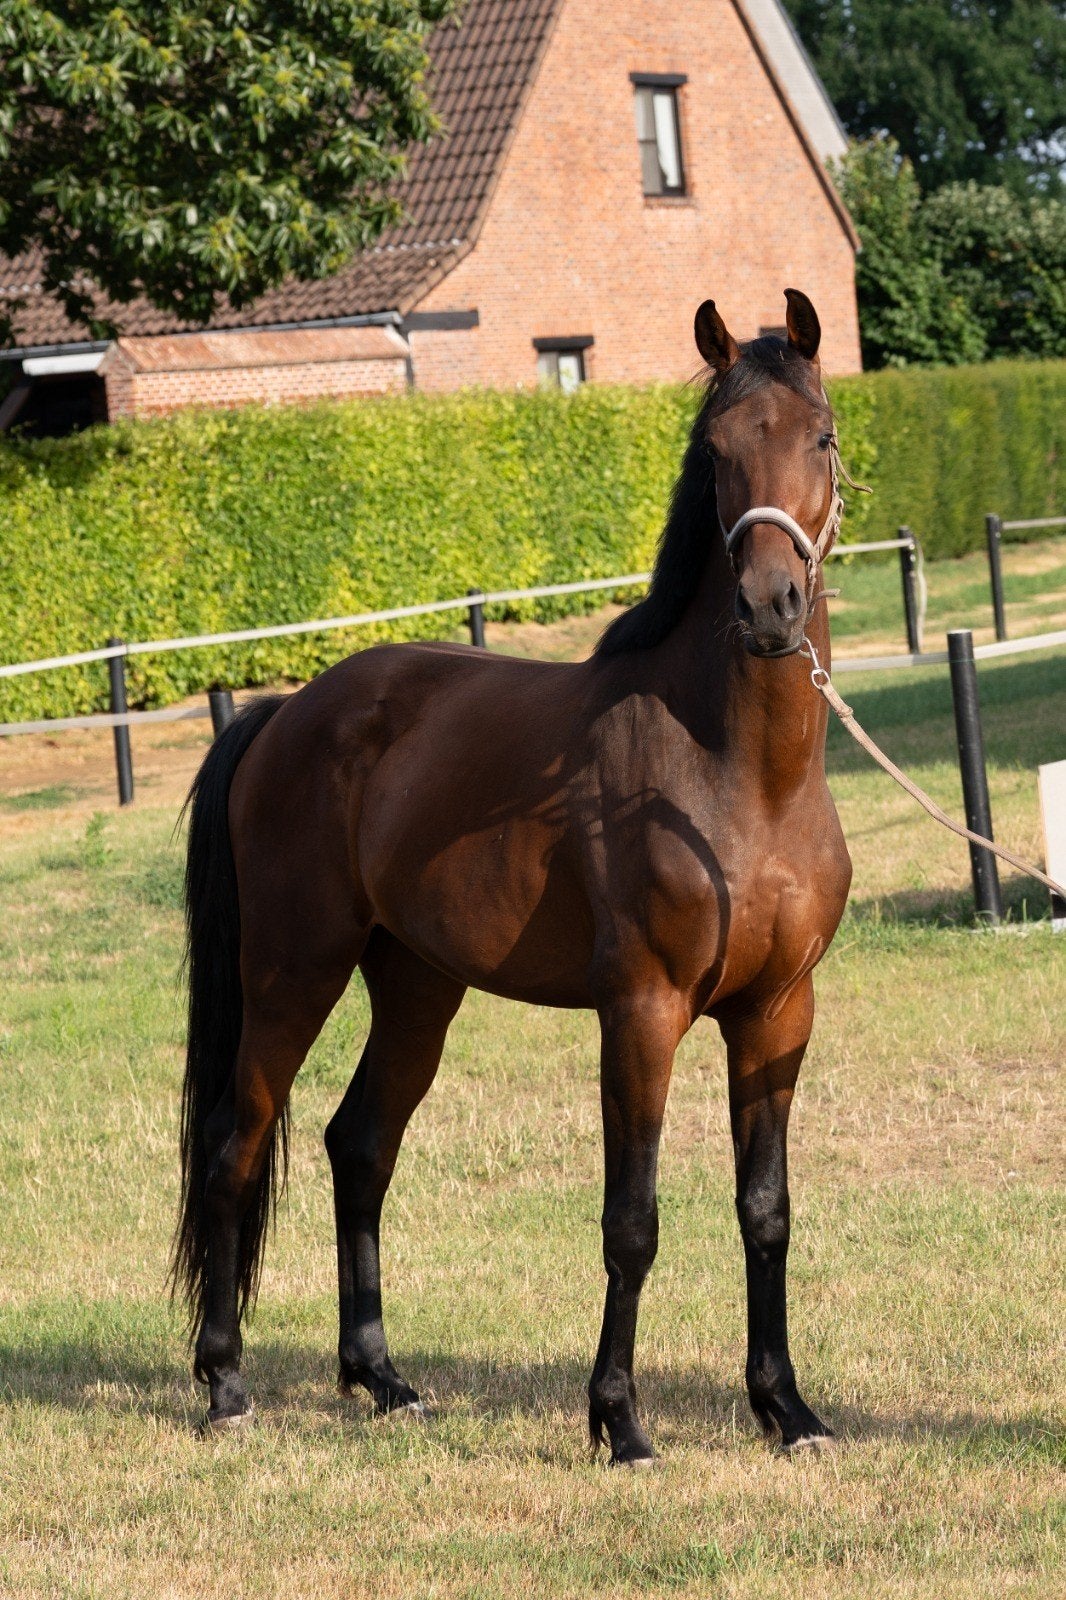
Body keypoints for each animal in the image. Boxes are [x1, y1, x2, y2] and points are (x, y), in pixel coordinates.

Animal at [173, 288, 853, 1463]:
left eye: (820, 435)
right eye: (715, 448)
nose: (770, 606)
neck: (737, 775)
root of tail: (286, 712)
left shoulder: (778, 1012)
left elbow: (764, 1210)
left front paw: (786, 1409)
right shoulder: (640, 1012)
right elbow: (632, 1221)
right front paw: (619, 1421)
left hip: (416, 985)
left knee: (360, 1145)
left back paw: (382, 1378)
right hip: (293, 974)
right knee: (235, 1142)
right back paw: (226, 1385)